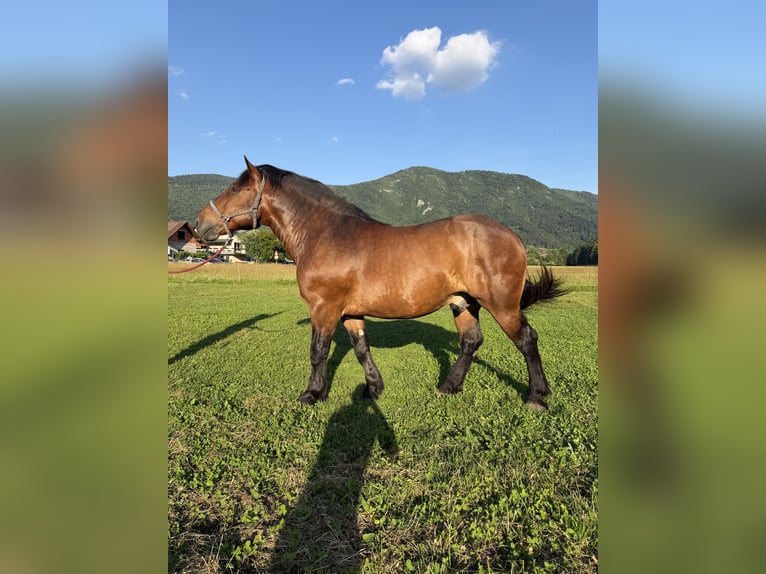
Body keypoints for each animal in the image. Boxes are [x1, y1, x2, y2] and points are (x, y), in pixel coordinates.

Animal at [194, 157, 568, 410]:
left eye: (235, 188)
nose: (200, 225)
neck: (325, 234)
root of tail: (513, 237)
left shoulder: (324, 308)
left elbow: (318, 351)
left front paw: (313, 394)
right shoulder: (349, 312)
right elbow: (362, 349)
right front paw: (373, 389)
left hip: (501, 305)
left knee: (526, 339)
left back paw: (537, 396)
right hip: (463, 303)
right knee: (470, 342)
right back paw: (449, 386)